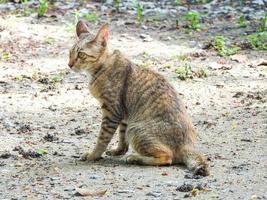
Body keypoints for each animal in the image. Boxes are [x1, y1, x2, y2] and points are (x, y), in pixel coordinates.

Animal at [67, 20, 209, 176]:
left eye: (81, 55)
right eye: (70, 53)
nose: (69, 64)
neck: (99, 69)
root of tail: (188, 145)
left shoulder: (111, 111)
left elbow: (102, 138)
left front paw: (93, 155)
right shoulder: (124, 115)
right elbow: (122, 138)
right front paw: (118, 151)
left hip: (135, 129)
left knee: (168, 158)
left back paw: (135, 158)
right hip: (132, 126)